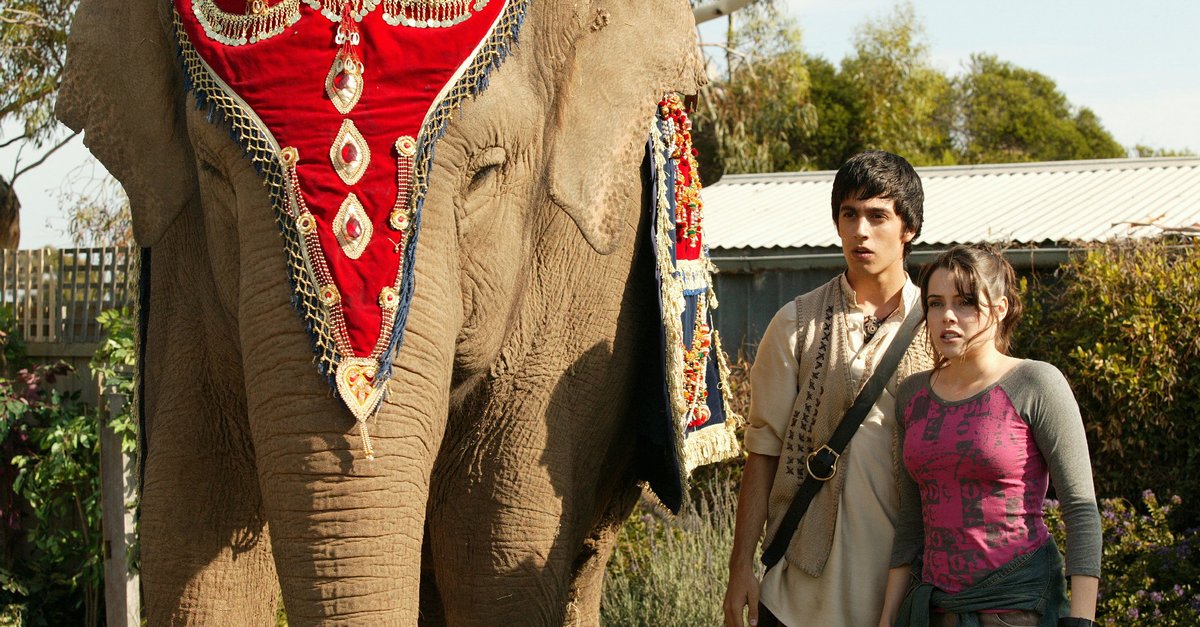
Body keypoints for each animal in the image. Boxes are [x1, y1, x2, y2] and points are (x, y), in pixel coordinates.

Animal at [57, 0, 706, 624]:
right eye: (214, 172)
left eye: (486, 174)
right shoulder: (180, 259)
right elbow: (191, 527)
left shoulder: (582, 281)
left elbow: (495, 543)